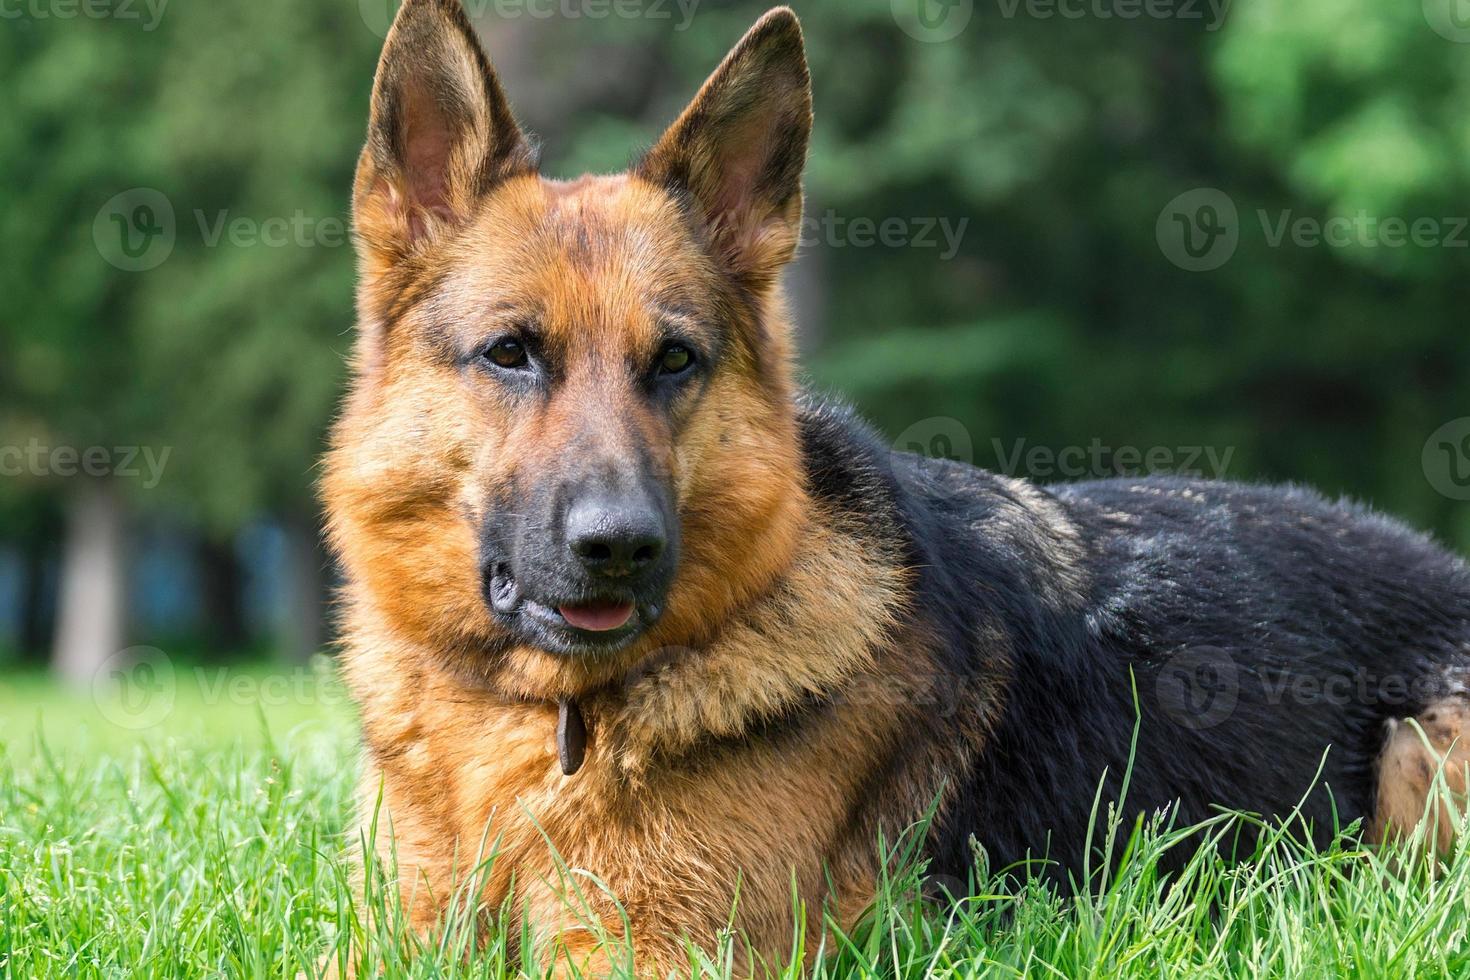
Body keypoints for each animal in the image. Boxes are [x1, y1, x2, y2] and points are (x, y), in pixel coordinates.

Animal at [327, 0, 1470, 969]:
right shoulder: (393, 936)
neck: (550, 718)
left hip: (1422, 759)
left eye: (675, 361)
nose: (621, 545)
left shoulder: (660, 954)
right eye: (510, 354)